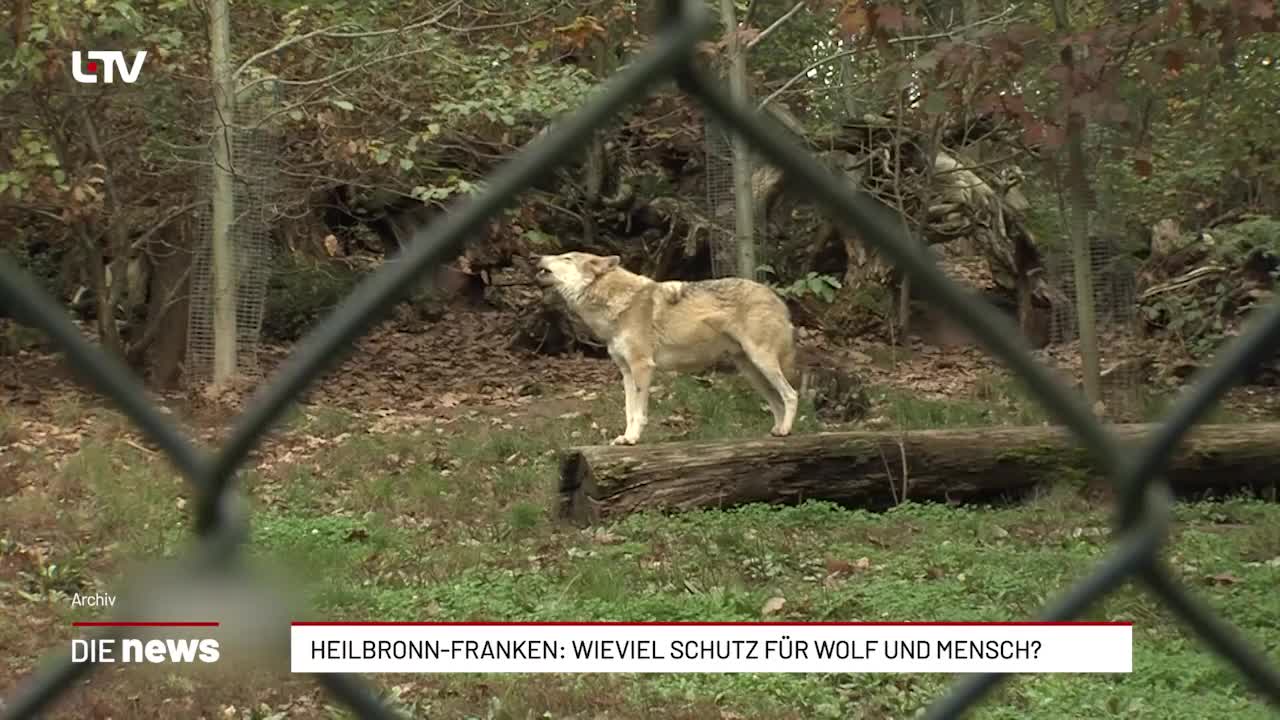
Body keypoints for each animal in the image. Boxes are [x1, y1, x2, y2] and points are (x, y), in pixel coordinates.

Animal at [532, 251, 799, 446]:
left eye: (567, 258)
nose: (539, 257)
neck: (617, 304)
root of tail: (777, 297)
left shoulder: (642, 366)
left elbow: (638, 412)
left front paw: (633, 439)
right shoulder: (626, 371)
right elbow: (629, 410)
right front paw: (625, 437)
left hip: (762, 362)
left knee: (791, 394)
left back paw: (786, 430)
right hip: (751, 371)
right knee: (776, 401)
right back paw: (777, 431)